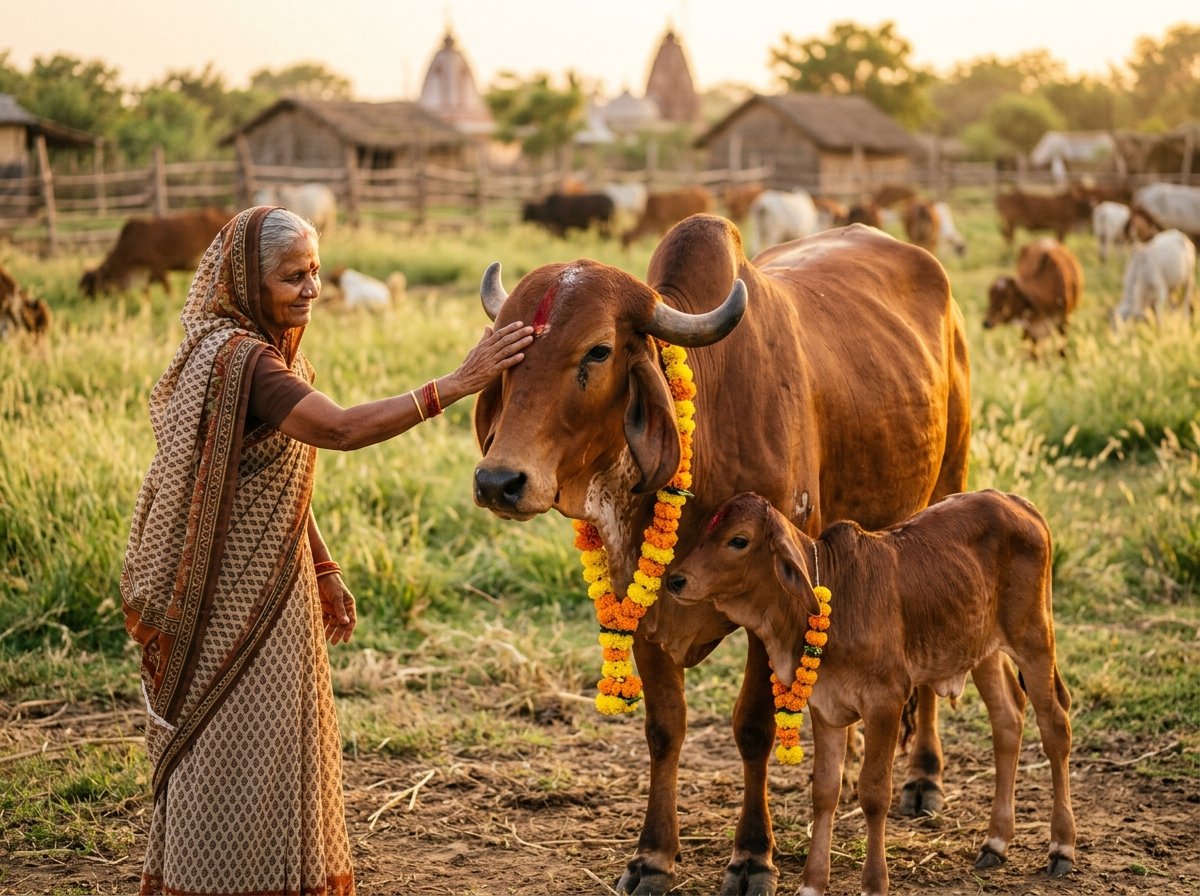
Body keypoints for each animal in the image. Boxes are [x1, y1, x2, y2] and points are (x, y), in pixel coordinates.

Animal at [79, 207, 232, 297]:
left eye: (92, 288)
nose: (89, 305)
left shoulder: (159, 268)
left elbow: (168, 291)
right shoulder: (147, 275)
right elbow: (146, 293)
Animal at [471, 214, 971, 895]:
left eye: (598, 351)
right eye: (507, 348)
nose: (499, 480)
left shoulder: (776, 604)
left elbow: (753, 728)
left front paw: (752, 856)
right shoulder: (640, 603)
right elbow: (664, 729)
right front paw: (653, 856)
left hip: (948, 482)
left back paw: (923, 777)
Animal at [661, 490, 1076, 896]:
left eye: (738, 540)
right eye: (705, 529)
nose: (677, 580)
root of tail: (1019, 503)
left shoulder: (885, 702)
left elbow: (875, 793)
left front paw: (874, 883)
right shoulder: (825, 708)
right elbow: (825, 791)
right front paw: (812, 882)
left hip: (1034, 637)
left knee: (1055, 726)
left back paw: (1062, 847)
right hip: (980, 649)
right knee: (1008, 719)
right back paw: (996, 842)